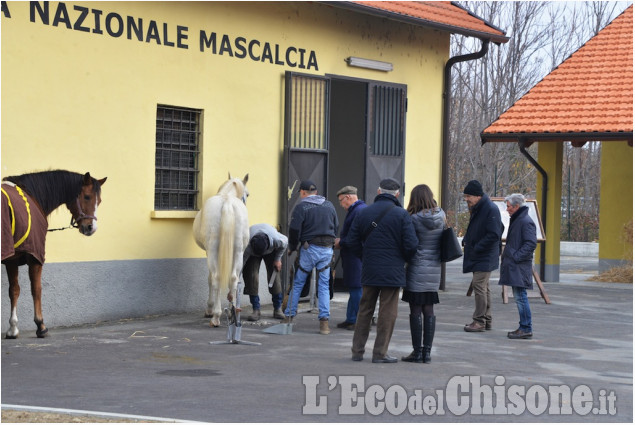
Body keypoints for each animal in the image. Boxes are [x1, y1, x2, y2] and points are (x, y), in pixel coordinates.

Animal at [1, 170, 107, 338]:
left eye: (100, 201)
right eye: (87, 197)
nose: (91, 228)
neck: (32, 194)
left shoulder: (12, 259)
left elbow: (14, 290)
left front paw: (13, 328)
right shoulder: (35, 256)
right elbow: (36, 289)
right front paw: (40, 326)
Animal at [193, 174, 250, 326]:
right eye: (247, 194)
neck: (227, 194)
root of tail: (227, 203)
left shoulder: (208, 252)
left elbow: (210, 279)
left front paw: (209, 309)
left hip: (213, 251)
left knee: (216, 277)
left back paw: (216, 316)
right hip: (238, 251)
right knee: (234, 278)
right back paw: (232, 311)